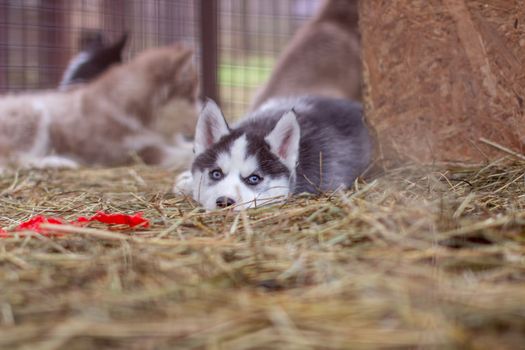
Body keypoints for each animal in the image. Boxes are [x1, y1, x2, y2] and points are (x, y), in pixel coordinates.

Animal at [0, 44, 199, 172]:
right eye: (191, 99)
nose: (199, 118)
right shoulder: (131, 152)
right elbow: (182, 155)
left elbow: (188, 146)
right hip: (34, 112)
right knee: (15, 158)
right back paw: (53, 162)